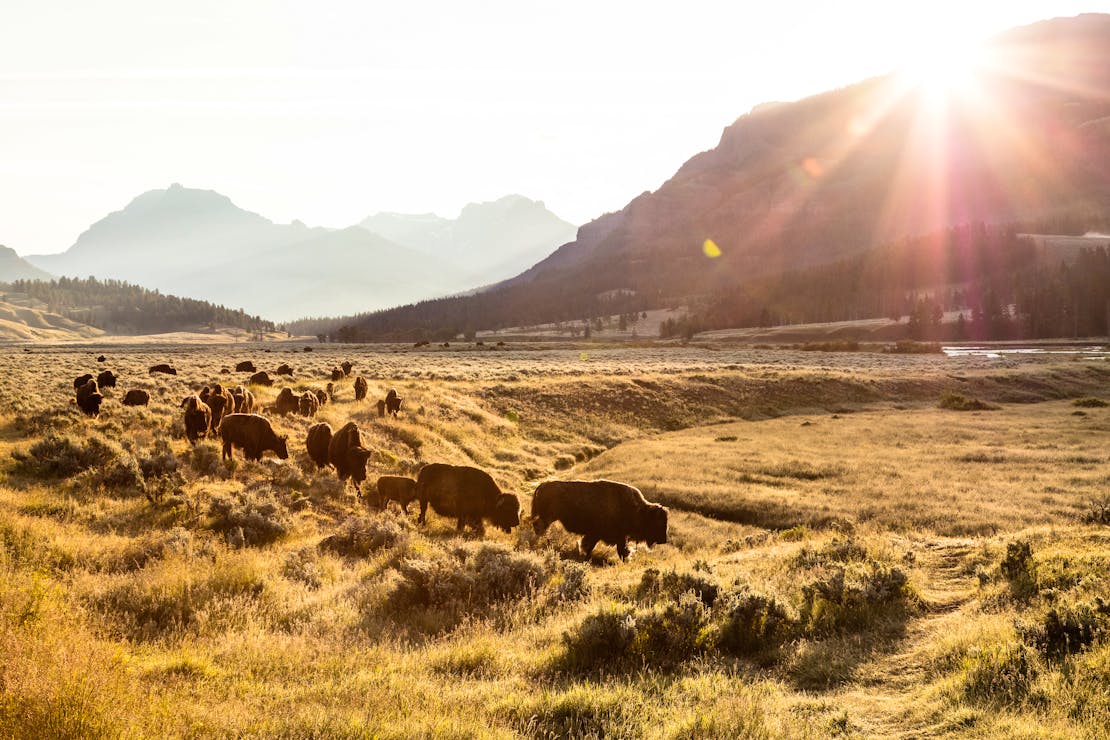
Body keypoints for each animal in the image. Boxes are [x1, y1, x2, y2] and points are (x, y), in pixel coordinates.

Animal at [530, 481, 666, 561]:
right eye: (658, 522)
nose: (664, 540)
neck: (638, 510)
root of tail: (543, 485)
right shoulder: (604, 535)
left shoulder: (606, 536)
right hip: (548, 517)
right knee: (539, 527)